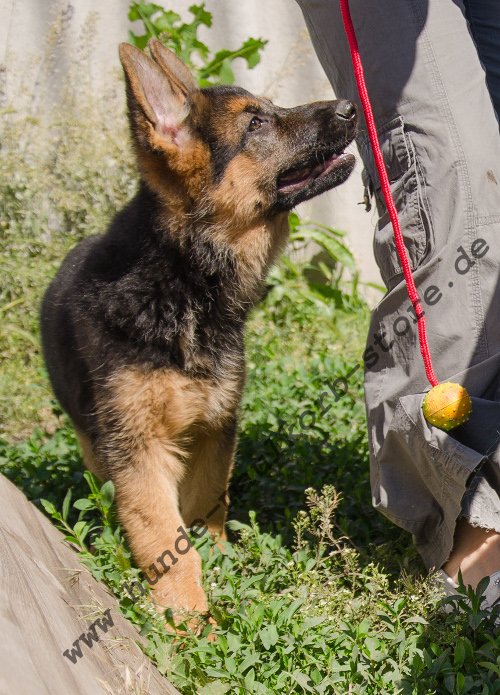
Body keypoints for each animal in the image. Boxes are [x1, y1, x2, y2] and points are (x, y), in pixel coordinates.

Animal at [41, 39, 358, 616]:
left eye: (268, 109)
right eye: (256, 123)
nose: (350, 107)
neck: (181, 278)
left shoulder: (214, 428)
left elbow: (207, 509)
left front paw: (221, 564)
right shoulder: (140, 452)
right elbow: (164, 538)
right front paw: (187, 617)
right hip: (94, 443)